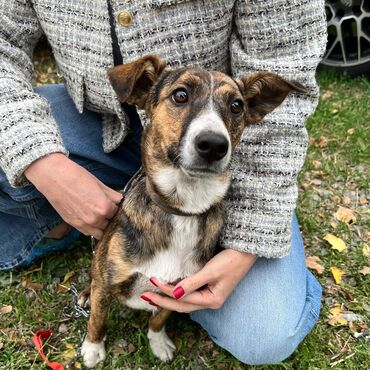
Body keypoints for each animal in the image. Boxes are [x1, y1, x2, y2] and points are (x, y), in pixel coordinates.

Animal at [79, 55, 306, 368]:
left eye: (237, 106)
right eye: (180, 95)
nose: (214, 145)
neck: (182, 209)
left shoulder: (179, 291)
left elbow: (159, 319)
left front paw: (158, 342)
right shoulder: (106, 281)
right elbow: (98, 318)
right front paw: (93, 348)